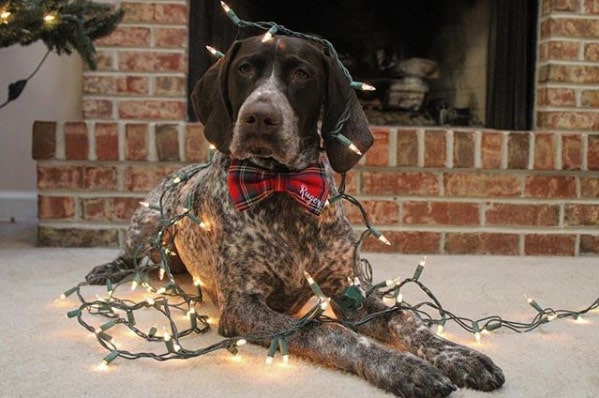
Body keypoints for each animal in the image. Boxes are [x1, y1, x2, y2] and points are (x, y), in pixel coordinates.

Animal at [85, 35, 506, 396]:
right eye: (245, 69)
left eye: (302, 74)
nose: (259, 117)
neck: (282, 186)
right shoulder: (243, 307)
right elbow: (331, 332)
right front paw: (404, 368)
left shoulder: (349, 288)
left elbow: (404, 318)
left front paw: (458, 354)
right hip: (150, 229)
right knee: (135, 258)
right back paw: (106, 270)